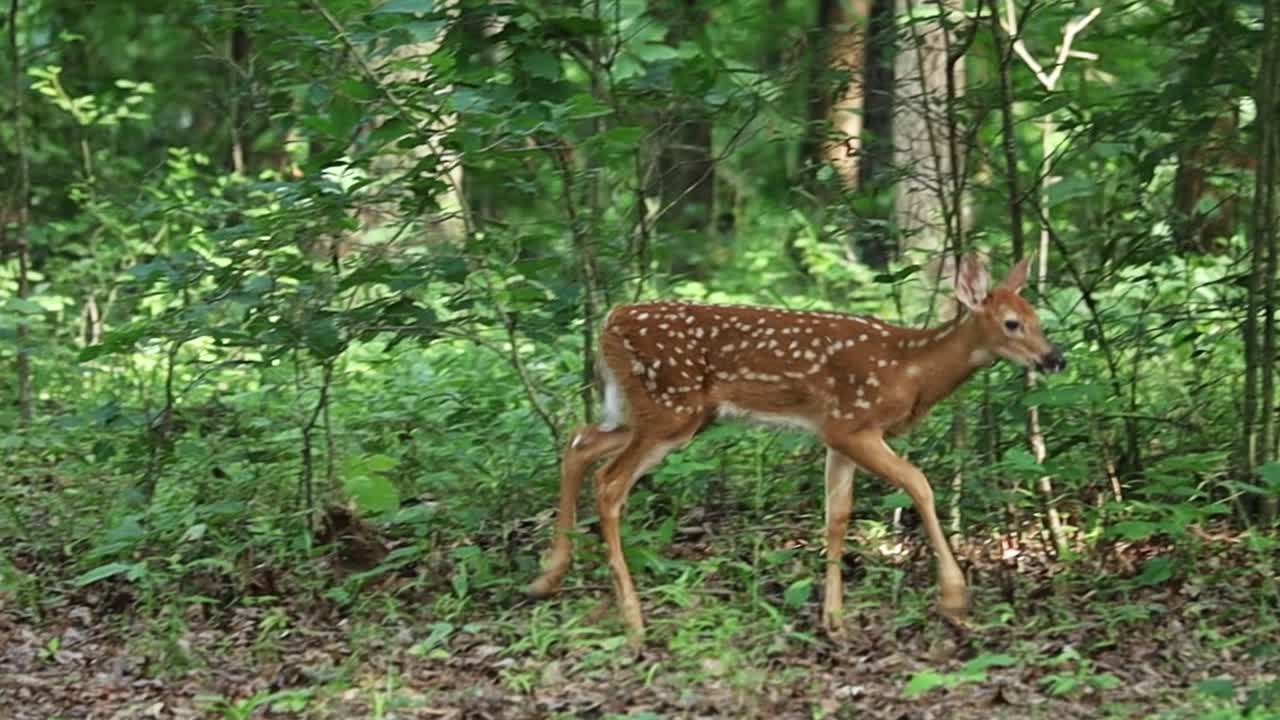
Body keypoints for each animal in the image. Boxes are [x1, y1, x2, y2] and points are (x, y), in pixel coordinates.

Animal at [528, 254, 1065, 645]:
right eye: (1012, 323)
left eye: (1039, 319)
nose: (1055, 359)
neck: (910, 370)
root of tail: (610, 322)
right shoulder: (852, 423)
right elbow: (920, 484)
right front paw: (954, 599)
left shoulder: (836, 434)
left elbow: (837, 517)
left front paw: (835, 621)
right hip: (669, 409)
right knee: (609, 481)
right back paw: (633, 621)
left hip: (654, 412)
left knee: (579, 442)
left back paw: (548, 576)